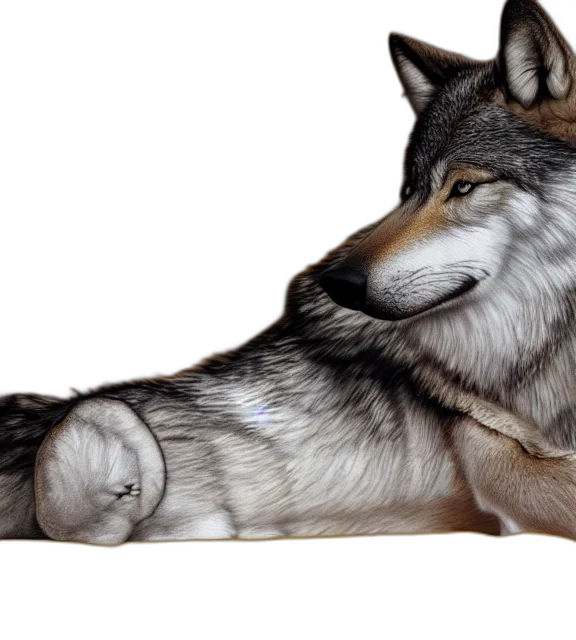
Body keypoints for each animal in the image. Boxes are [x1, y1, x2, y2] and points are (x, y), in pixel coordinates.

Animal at [1, 0, 574, 545]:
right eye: (408, 190)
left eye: (463, 186)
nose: (338, 283)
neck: (548, 348)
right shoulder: (501, 463)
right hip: (100, 416)